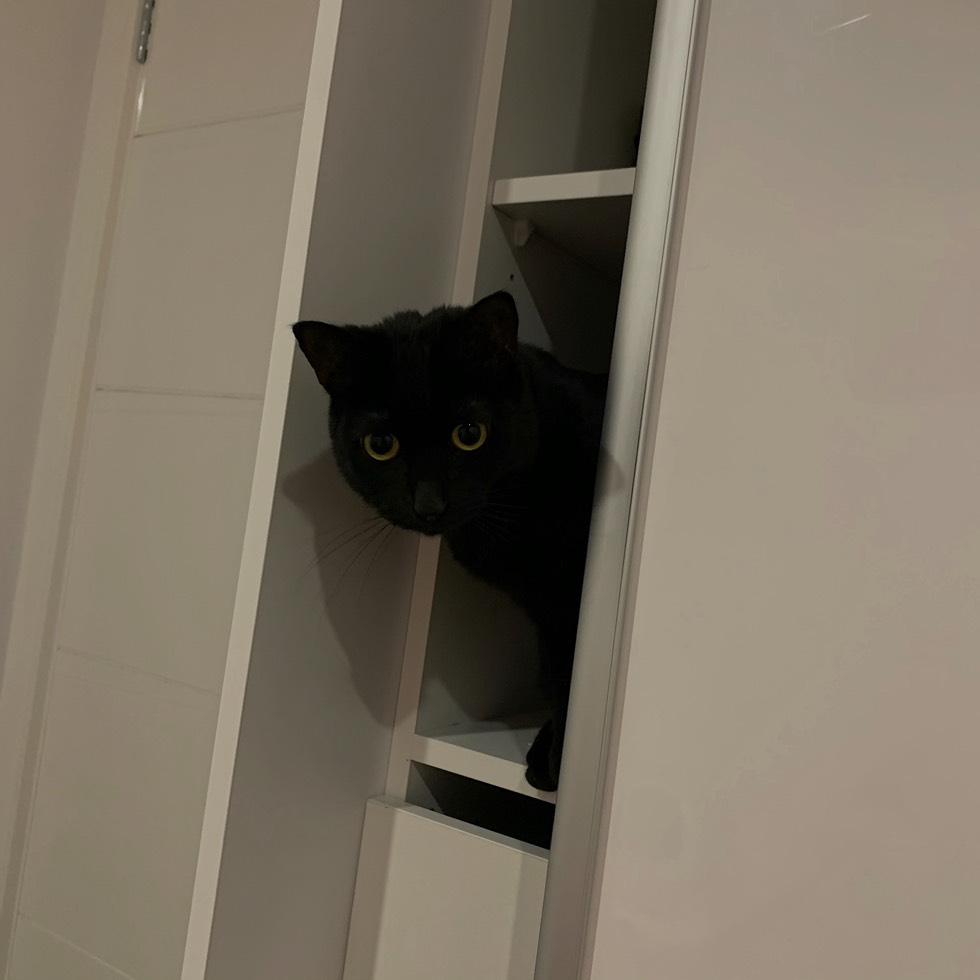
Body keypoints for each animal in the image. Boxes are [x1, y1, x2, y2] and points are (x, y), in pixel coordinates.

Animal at [293, 291, 606, 791]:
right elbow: (559, 673)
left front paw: (557, 766)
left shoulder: (567, 605)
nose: (428, 503)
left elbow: (569, 674)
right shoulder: (547, 613)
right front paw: (551, 754)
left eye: (469, 435)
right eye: (380, 444)